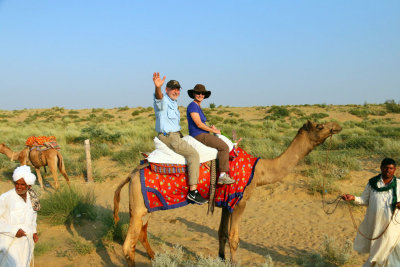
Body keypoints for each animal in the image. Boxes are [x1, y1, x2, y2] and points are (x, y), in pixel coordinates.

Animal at [114, 121, 342, 266]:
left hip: (146, 206)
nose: (337, 126)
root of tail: (131, 174)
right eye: (320, 126)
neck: (259, 171)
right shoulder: (240, 201)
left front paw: (221, 258)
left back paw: (154, 257)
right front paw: (233, 262)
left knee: (141, 234)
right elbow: (234, 237)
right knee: (127, 246)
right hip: (138, 208)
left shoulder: (225, 202)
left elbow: (221, 233)